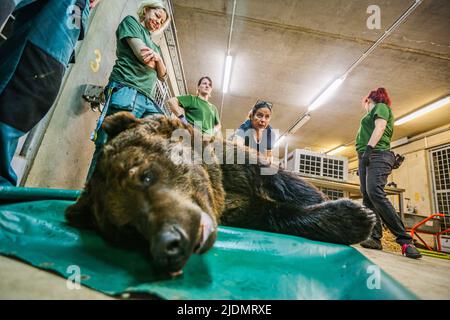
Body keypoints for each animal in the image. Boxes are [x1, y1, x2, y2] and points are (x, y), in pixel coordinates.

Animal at [66, 112, 376, 276]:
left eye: (146, 175)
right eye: (128, 230)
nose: (167, 245)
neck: (219, 185)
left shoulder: (239, 164)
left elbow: (289, 184)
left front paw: (354, 211)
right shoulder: (235, 208)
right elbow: (270, 214)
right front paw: (352, 217)